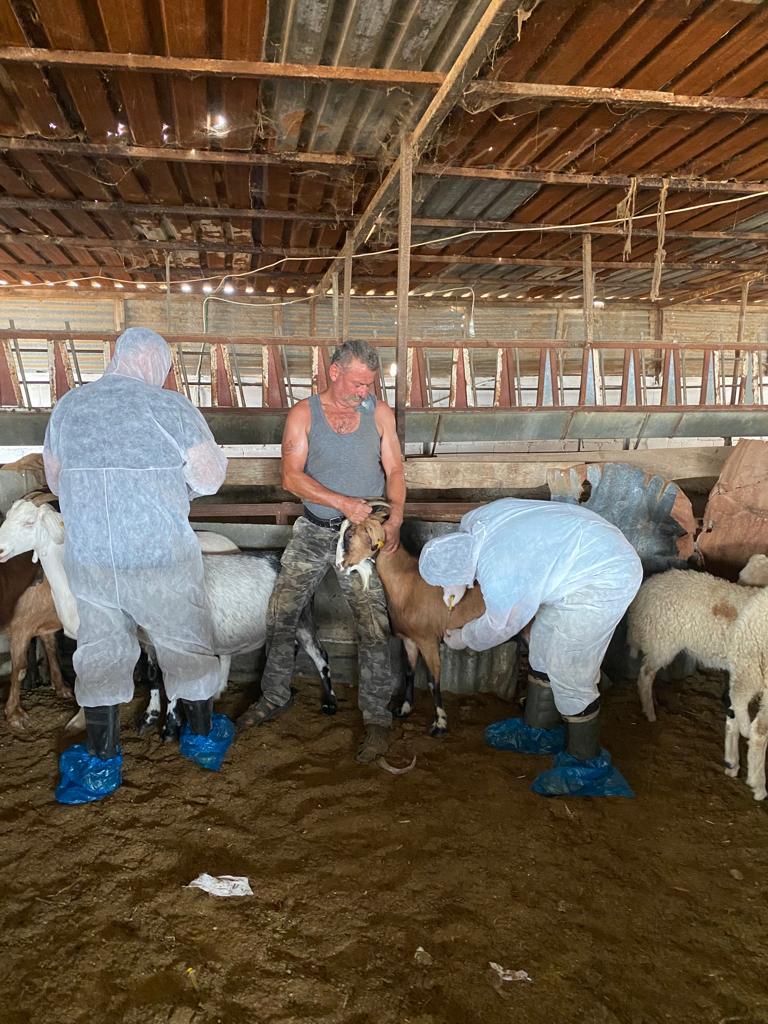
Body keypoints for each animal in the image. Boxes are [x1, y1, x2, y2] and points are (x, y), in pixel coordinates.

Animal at [0, 497, 335, 733]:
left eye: (29, 522)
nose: (0, 549)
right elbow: (148, 676)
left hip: (298, 620)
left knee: (319, 657)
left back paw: (328, 703)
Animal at [335, 505, 487, 737]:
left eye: (350, 534)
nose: (339, 565)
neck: (407, 581)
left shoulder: (428, 640)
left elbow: (433, 681)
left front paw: (440, 723)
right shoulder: (409, 640)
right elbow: (409, 672)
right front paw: (404, 709)